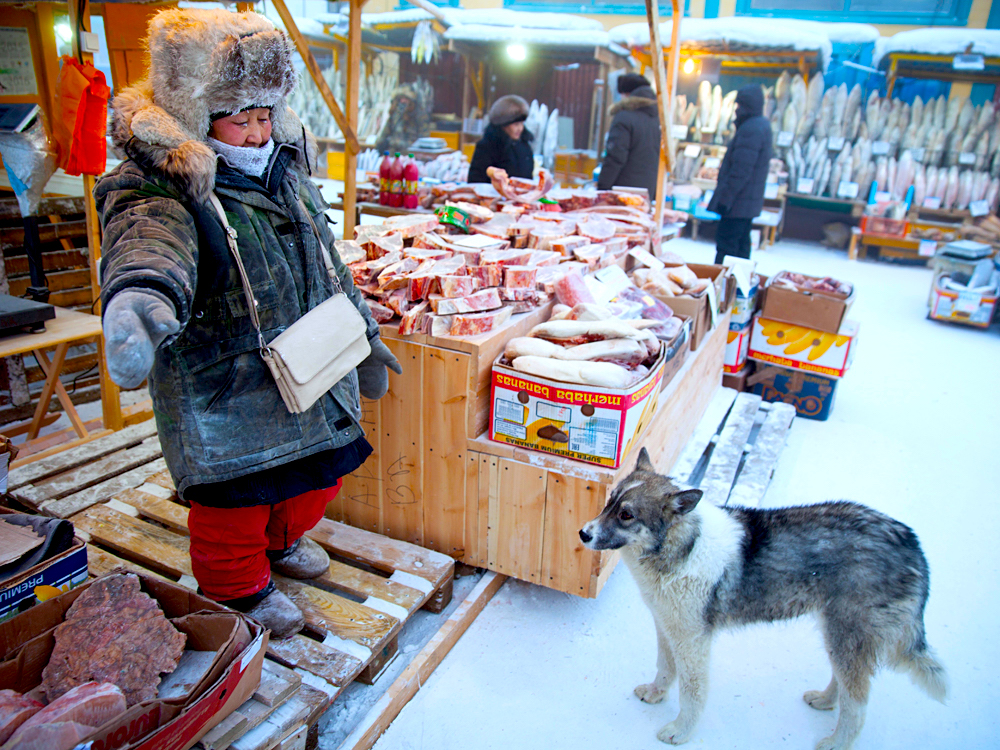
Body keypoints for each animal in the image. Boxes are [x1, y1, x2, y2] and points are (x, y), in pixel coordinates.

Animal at [580, 450, 944, 748]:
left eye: (627, 515)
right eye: (609, 501)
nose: (583, 533)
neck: (682, 547)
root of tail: (911, 541)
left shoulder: (693, 641)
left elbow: (692, 693)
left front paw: (681, 731)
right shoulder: (668, 627)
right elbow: (665, 668)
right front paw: (657, 694)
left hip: (847, 637)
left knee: (858, 705)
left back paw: (836, 742)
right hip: (837, 634)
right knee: (844, 684)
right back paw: (825, 701)